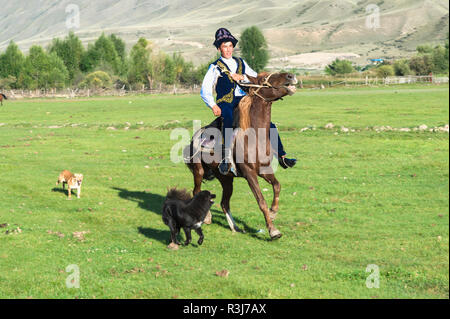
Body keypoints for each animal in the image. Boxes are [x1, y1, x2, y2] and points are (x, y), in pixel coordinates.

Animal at [185, 71, 298, 239]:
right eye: (264, 79)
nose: (291, 76)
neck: (255, 137)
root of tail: (196, 136)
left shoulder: (264, 170)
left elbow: (277, 186)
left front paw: (273, 212)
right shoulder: (249, 173)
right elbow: (261, 201)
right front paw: (273, 231)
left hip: (226, 179)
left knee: (224, 203)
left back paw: (235, 227)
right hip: (198, 171)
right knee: (196, 192)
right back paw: (206, 217)